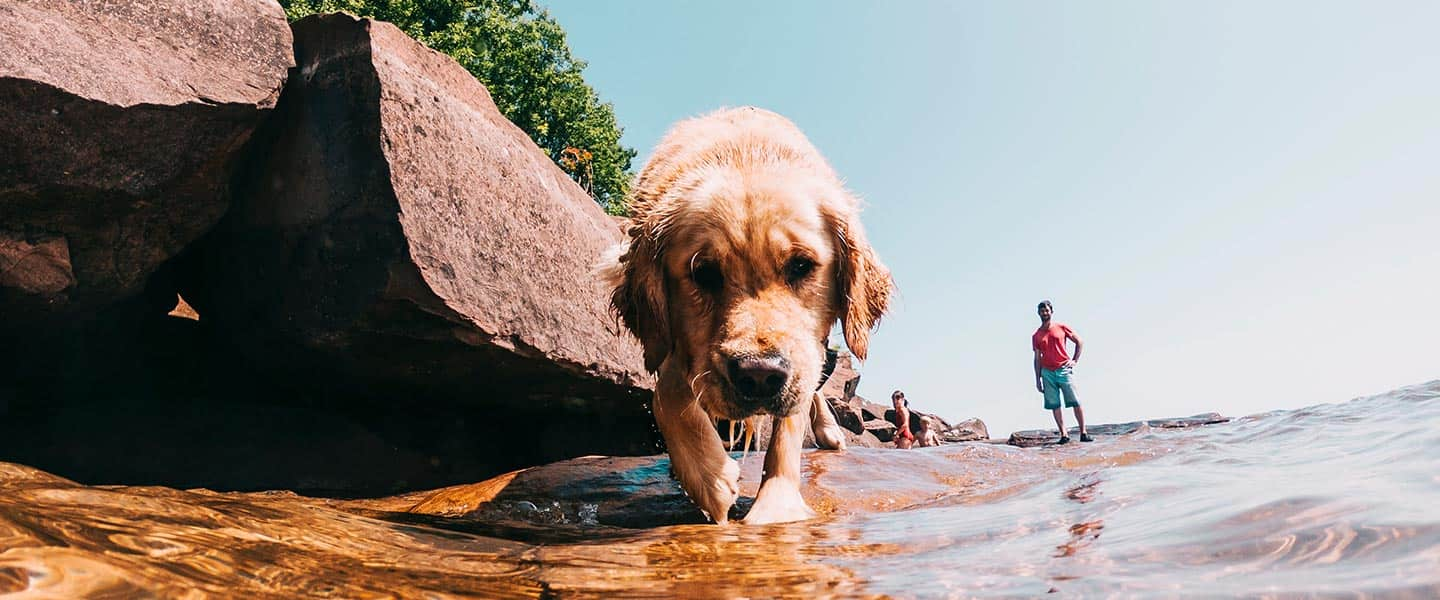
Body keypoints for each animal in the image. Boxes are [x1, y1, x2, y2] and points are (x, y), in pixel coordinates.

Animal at [596, 107, 887, 523]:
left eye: (801, 265)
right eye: (703, 273)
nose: (760, 376)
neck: (746, 155)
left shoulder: (801, 356)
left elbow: (789, 427)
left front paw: (776, 508)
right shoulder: (672, 342)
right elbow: (667, 396)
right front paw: (709, 478)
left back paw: (829, 430)